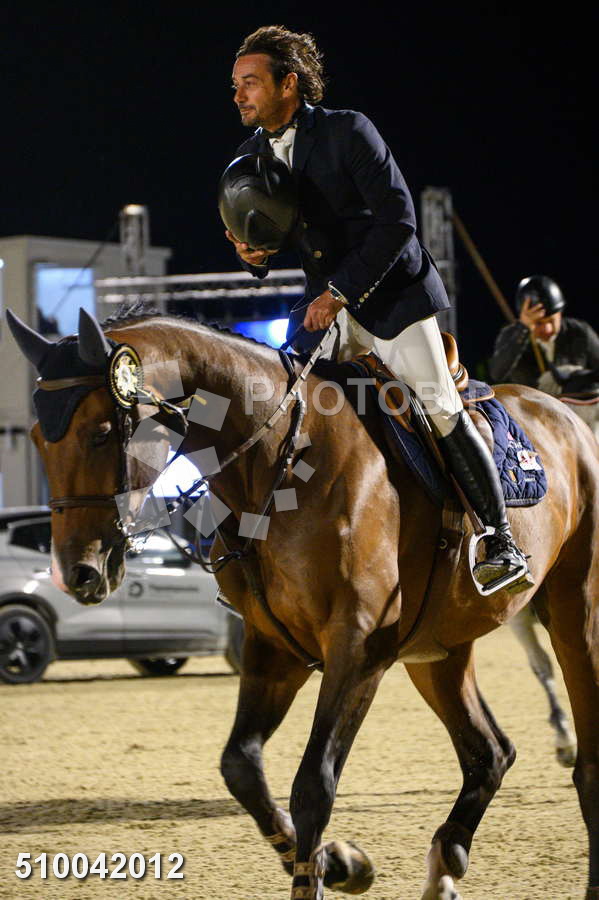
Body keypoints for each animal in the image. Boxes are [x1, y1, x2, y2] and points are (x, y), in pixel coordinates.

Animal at [7, 306, 599, 900]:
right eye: (36, 438)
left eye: (102, 432)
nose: (79, 574)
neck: (282, 461)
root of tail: (568, 415)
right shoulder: (273, 647)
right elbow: (241, 767)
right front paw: (339, 863)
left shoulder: (358, 648)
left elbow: (313, 784)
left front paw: (327, 866)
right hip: (438, 649)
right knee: (489, 753)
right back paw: (445, 862)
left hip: (575, 613)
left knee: (579, 757)